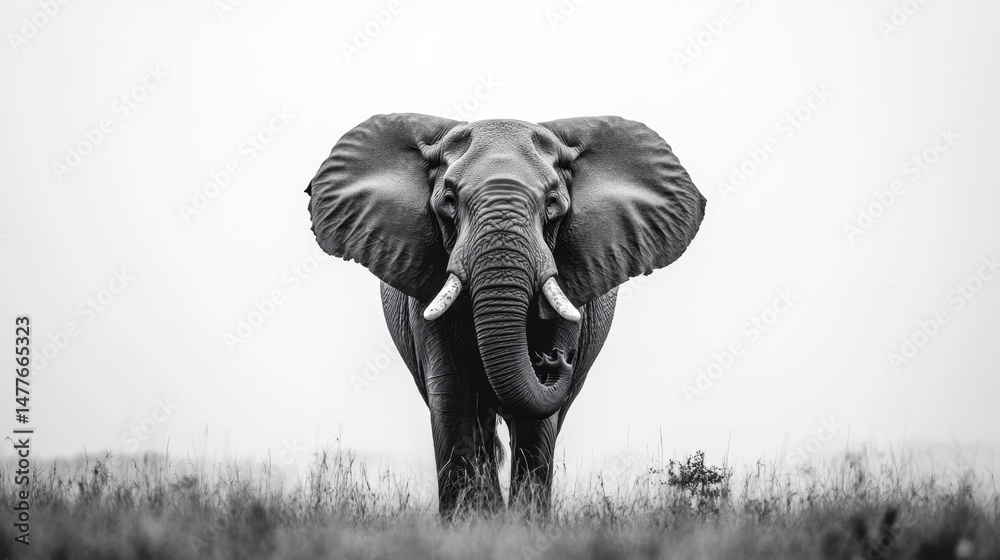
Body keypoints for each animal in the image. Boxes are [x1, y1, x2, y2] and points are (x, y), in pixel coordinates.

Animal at [305, 113, 706, 516]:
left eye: (553, 204)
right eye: (449, 202)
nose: (556, 358)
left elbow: (535, 420)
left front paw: (526, 521)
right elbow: (452, 393)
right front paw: (467, 521)